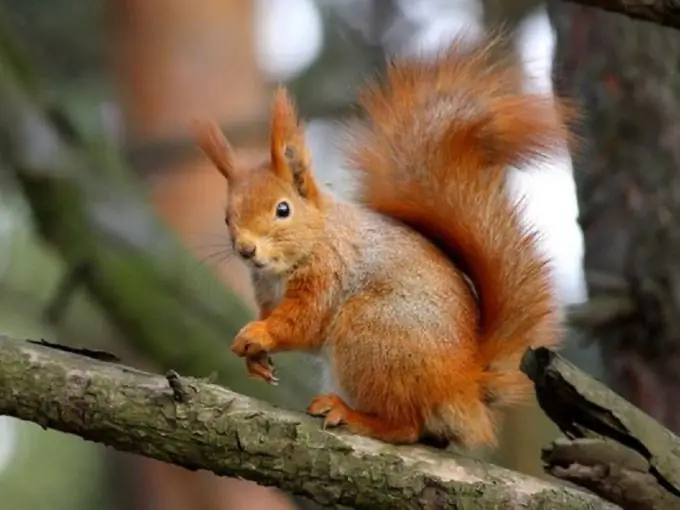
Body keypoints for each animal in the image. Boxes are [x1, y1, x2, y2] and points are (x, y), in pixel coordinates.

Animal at [193, 34, 572, 450]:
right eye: (227, 217)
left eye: (282, 209)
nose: (246, 250)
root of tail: (465, 384)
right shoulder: (266, 293)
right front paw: (255, 360)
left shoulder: (329, 273)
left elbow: (302, 323)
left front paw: (258, 335)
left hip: (371, 335)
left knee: (405, 426)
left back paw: (351, 414)